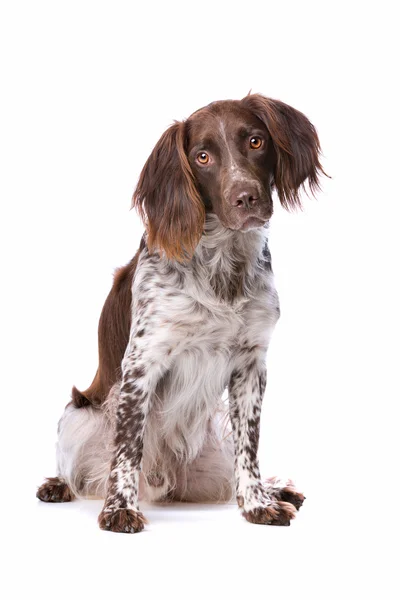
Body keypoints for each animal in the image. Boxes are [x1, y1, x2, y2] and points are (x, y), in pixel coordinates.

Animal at [37, 94, 324, 536]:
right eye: (202, 156)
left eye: (256, 141)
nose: (245, 197)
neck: (223, 267)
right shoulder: (141, 365)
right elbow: (127, 448)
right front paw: (119, 509)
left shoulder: (251, 366)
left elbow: (250, 448)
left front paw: (258, 502)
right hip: (78, 416)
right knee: (82, 472)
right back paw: (58, 485)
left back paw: (276, 488)